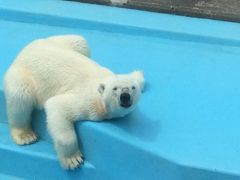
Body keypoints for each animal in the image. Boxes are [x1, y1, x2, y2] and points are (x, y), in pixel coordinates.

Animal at [3, 35, 144, 170]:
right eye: (115, 88)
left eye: (133, 88)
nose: (125, 96)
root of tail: (24, 50)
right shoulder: (89, 102)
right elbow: (57, 107)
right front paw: (73, 160)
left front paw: (139, 75)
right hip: (23, 75)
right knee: (20, 96)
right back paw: (25, 136)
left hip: (62, 41)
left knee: (81, 41)